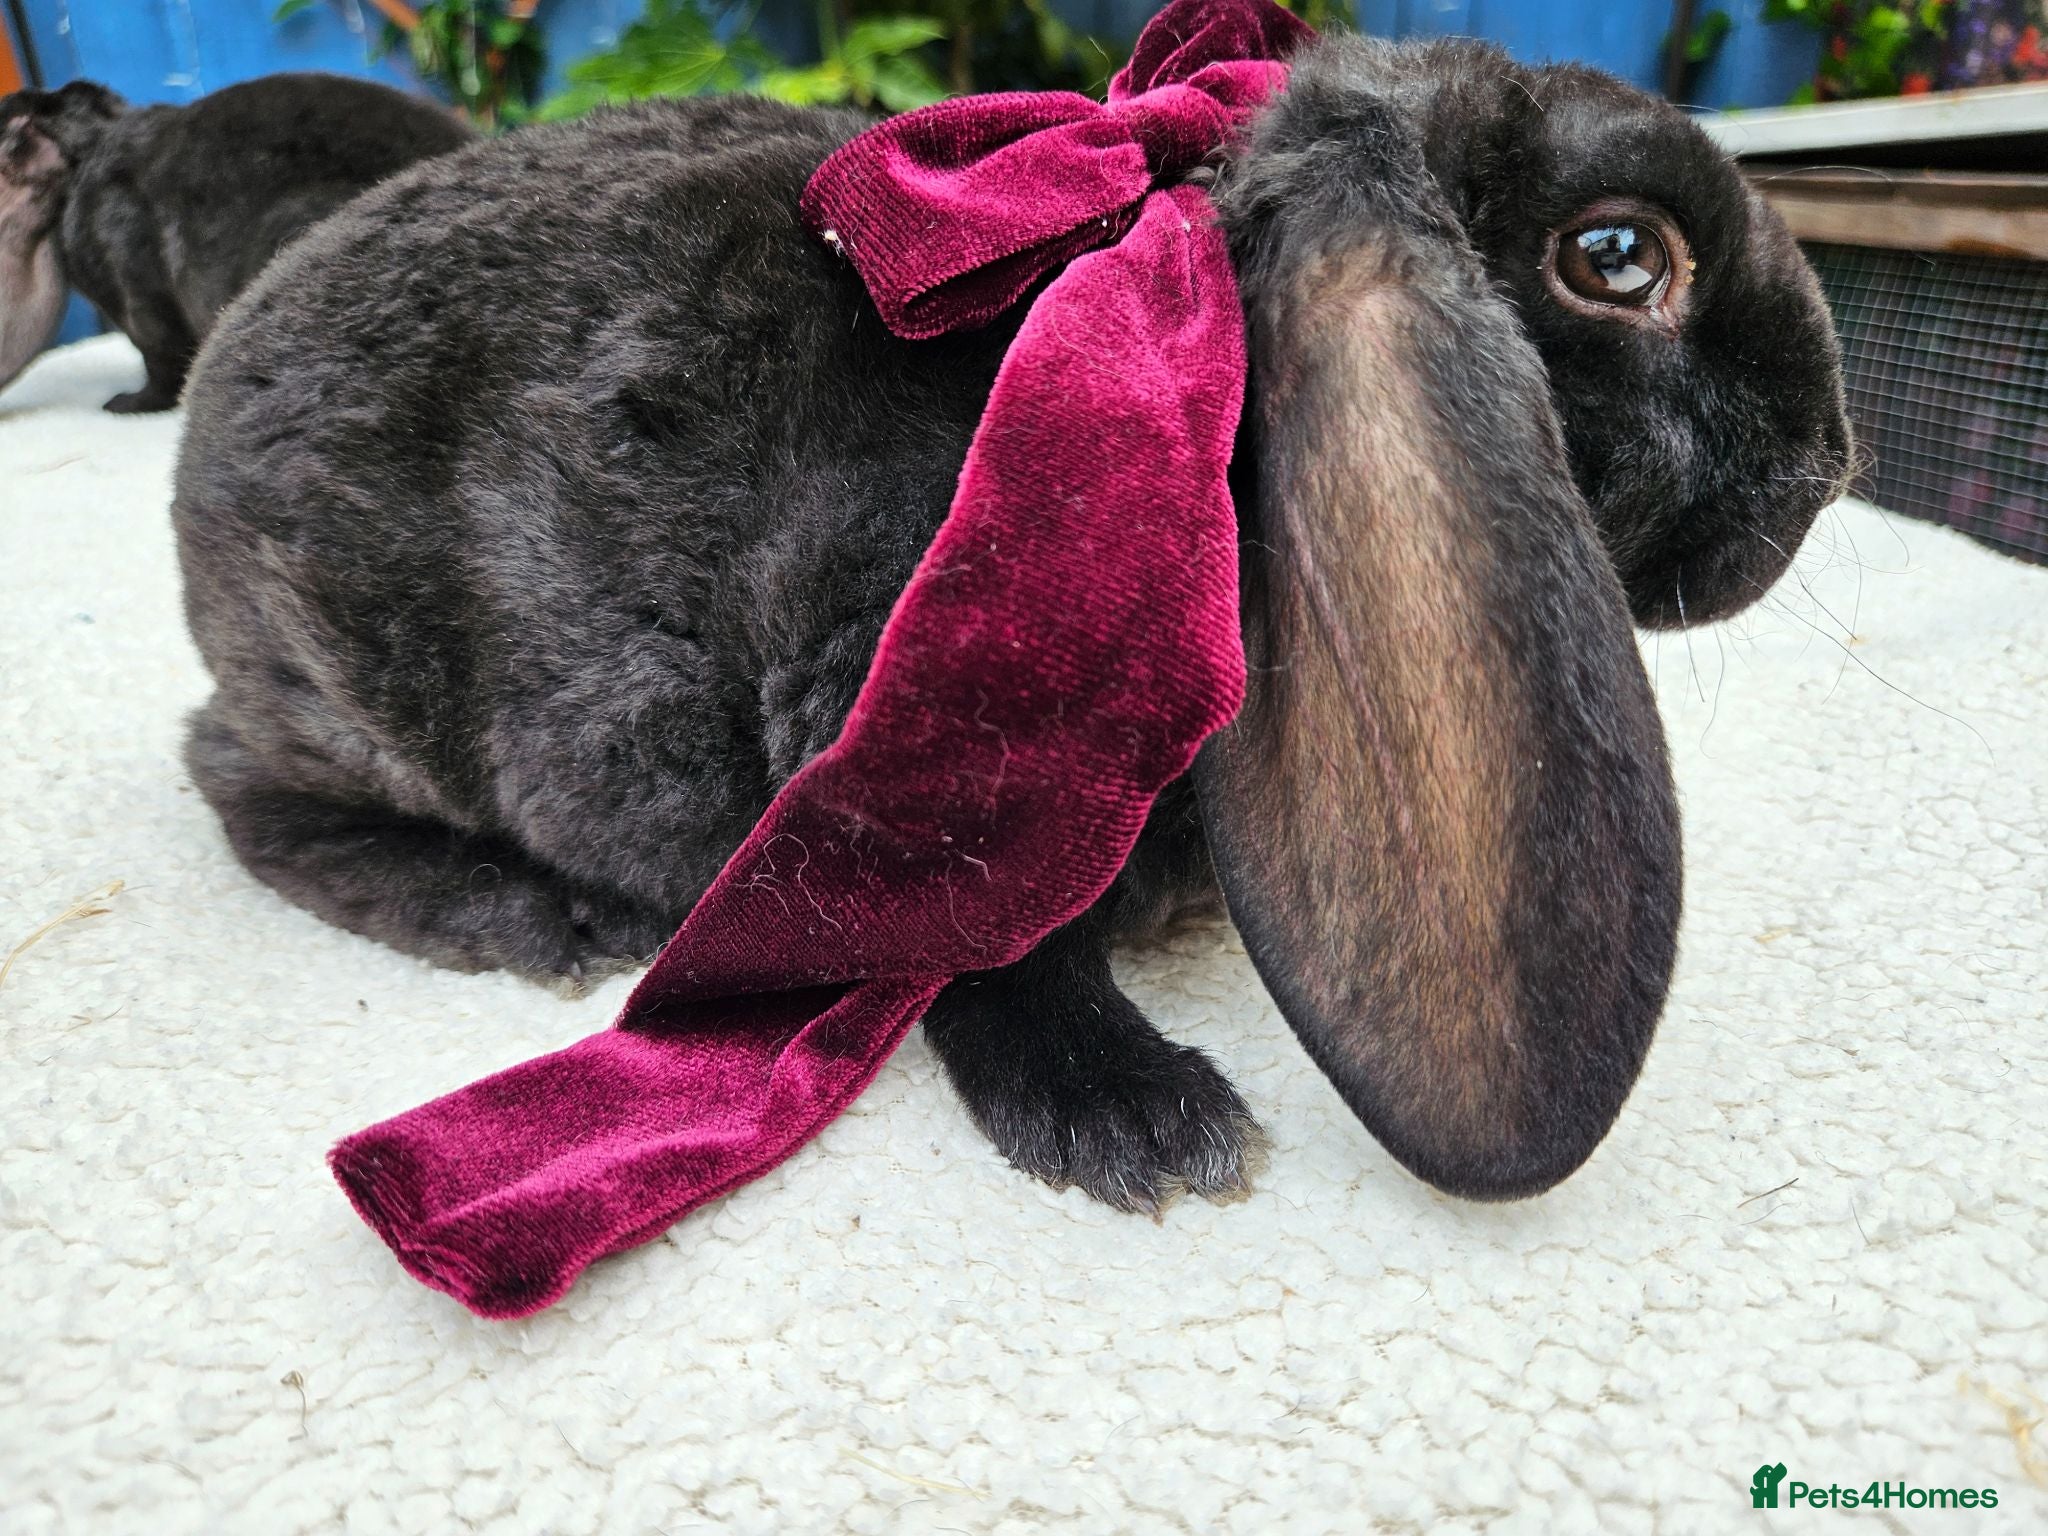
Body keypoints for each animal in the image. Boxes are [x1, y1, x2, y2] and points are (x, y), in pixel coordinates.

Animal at [170, 35, 1850, 1213]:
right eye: (1617, 257)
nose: (1829, 463)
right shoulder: (919, 741)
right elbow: (996, 950)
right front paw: (1139, 1121)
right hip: (349, 685)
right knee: (234, 784)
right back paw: (531, 914)